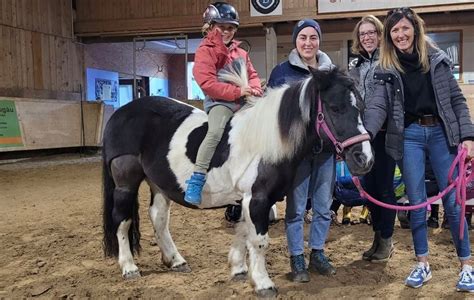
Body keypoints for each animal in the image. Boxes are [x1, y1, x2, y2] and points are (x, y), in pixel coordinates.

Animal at [103, 60, 374, 296]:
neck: (267, 141)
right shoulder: (257, 198)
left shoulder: (249, 199)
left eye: (361, 107)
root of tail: (120, 113)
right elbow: (259, 240)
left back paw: (176, 260)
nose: (365, 159)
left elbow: (244, 233)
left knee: (159, 218)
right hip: (126, 183)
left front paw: (239, 269)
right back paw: (129, 267)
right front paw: (263, 283)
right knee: (122, 221)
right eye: (335, 108)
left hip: (159, 184)